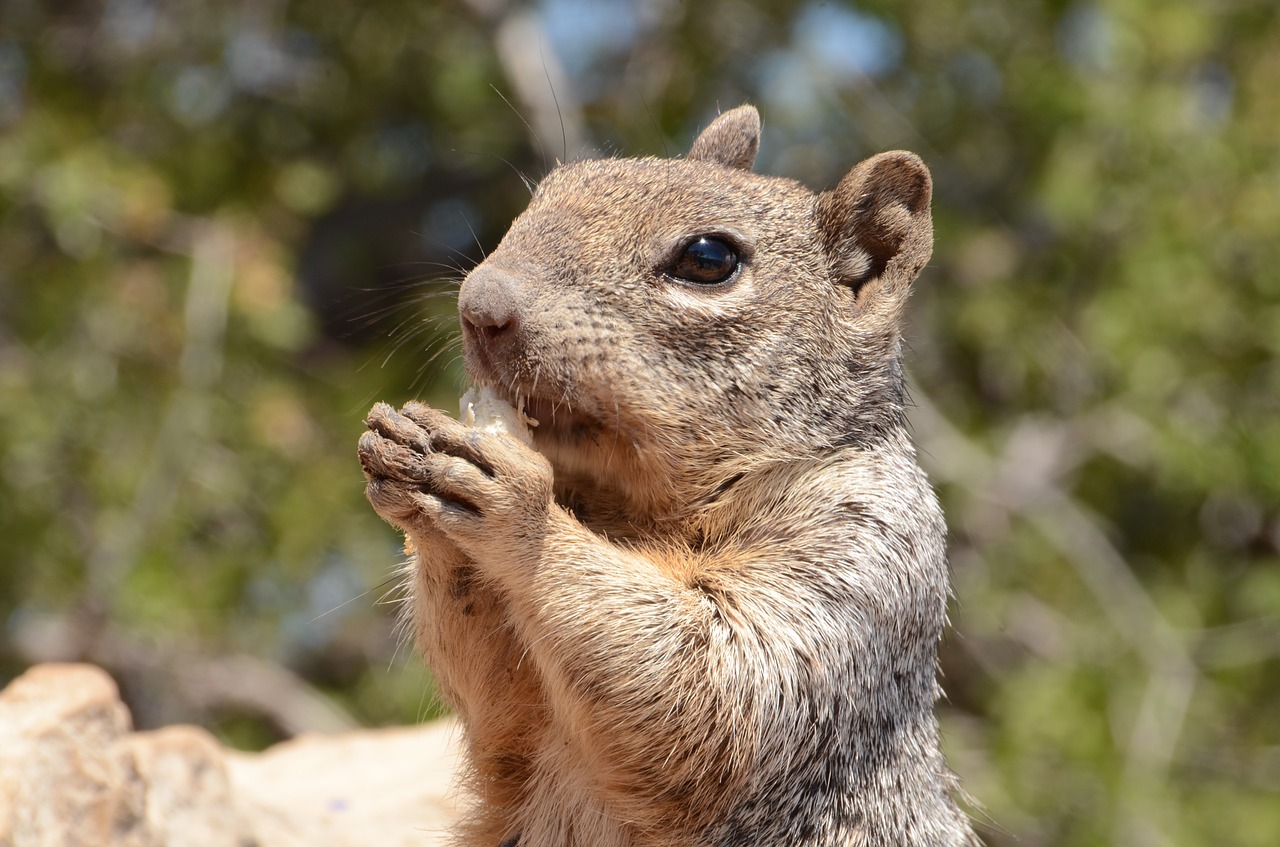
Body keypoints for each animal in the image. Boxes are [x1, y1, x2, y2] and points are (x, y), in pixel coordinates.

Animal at [355, 106, 972, 847]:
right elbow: (497, 699)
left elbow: (717, 688)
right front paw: (411, 455)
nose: (479, 305)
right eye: (549, 191)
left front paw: (514, 501)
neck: (635, 509)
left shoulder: (863, 556)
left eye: (708, 258)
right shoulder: (520, 726)